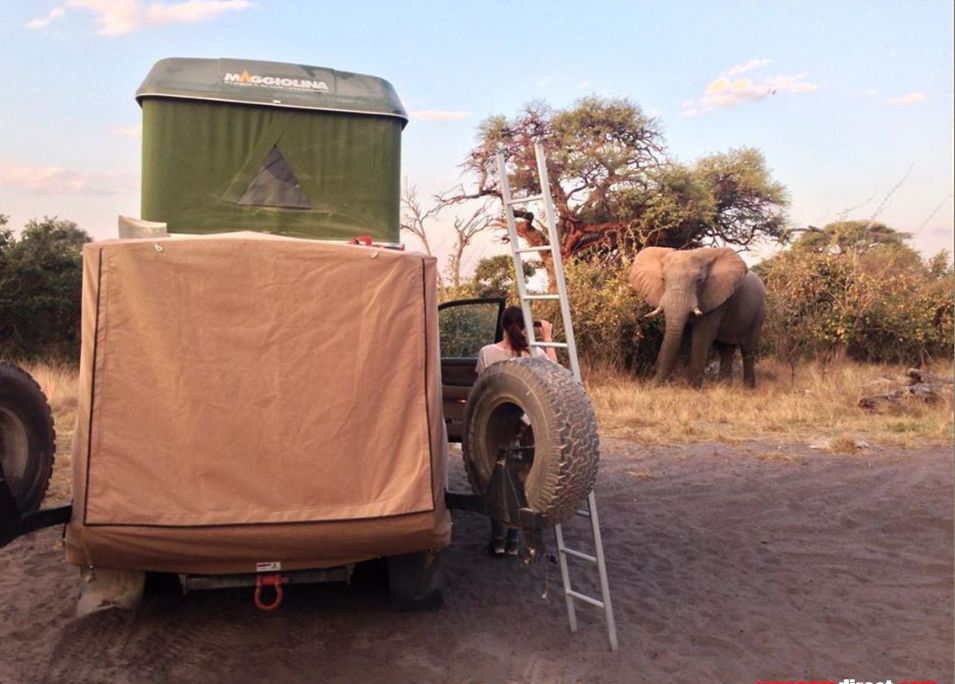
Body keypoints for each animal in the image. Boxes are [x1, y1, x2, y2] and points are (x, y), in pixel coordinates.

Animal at [632, 247, 764, 388]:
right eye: (663, 279)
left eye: (699, 280)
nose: (647, 385)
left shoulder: (716, 299)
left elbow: (702, 336)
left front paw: (692, 388)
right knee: (726, 349)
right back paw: (725, 386)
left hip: (759, 312)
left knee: (748, 349)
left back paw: (748, 388)